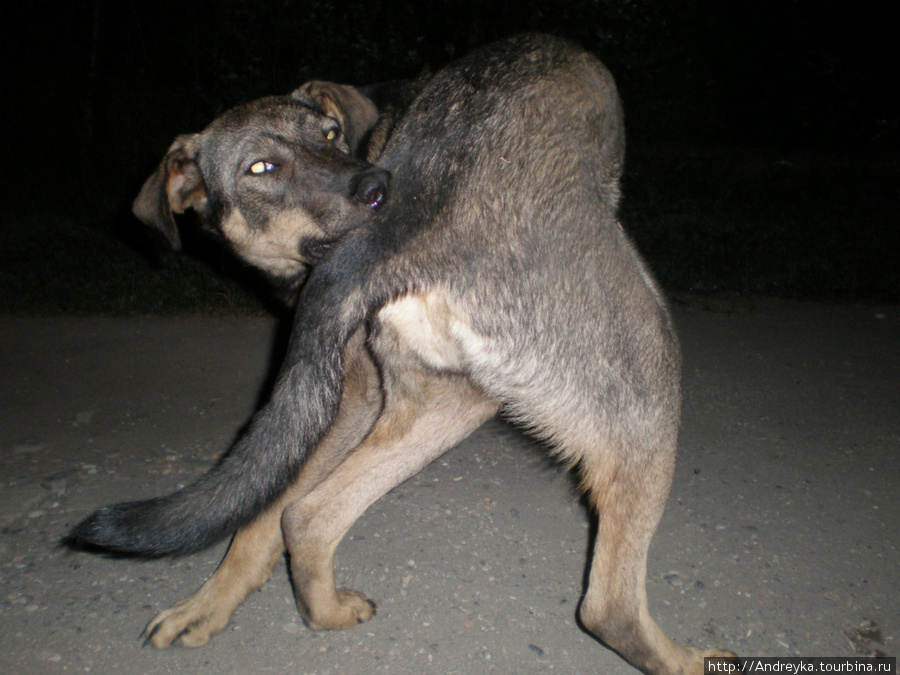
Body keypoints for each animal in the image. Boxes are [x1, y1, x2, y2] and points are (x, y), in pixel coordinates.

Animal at [68, 34, 732, 672]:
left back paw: (325, 612)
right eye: (262, 166)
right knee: (608, 607)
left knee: (306, 517)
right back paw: (685, 660)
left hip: (450, 402)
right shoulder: (349, 398)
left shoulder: (336, 397)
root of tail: (414, 204)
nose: (373, 188)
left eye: (330, 135)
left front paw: (208, 605)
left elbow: (259, 512)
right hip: (643, 379)